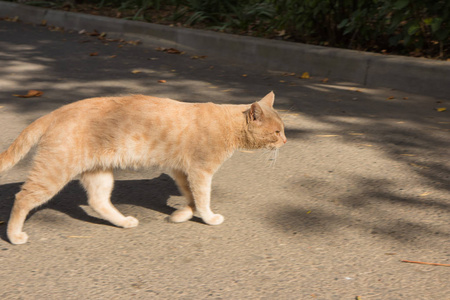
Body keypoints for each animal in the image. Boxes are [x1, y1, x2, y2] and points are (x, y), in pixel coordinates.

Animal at [0, 91, 286, 244]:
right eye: (277, 132)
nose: (285, 140)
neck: (228, 123)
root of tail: (56, 112)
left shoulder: (181, 170)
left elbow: (190, 196)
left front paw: (182, 214)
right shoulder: (200, 171)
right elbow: (203, 198)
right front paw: (208, 217)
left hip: (99, 174)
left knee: (97, 202)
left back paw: (124, 221)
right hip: (54, 172)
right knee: (23, 197)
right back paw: (14, 235)